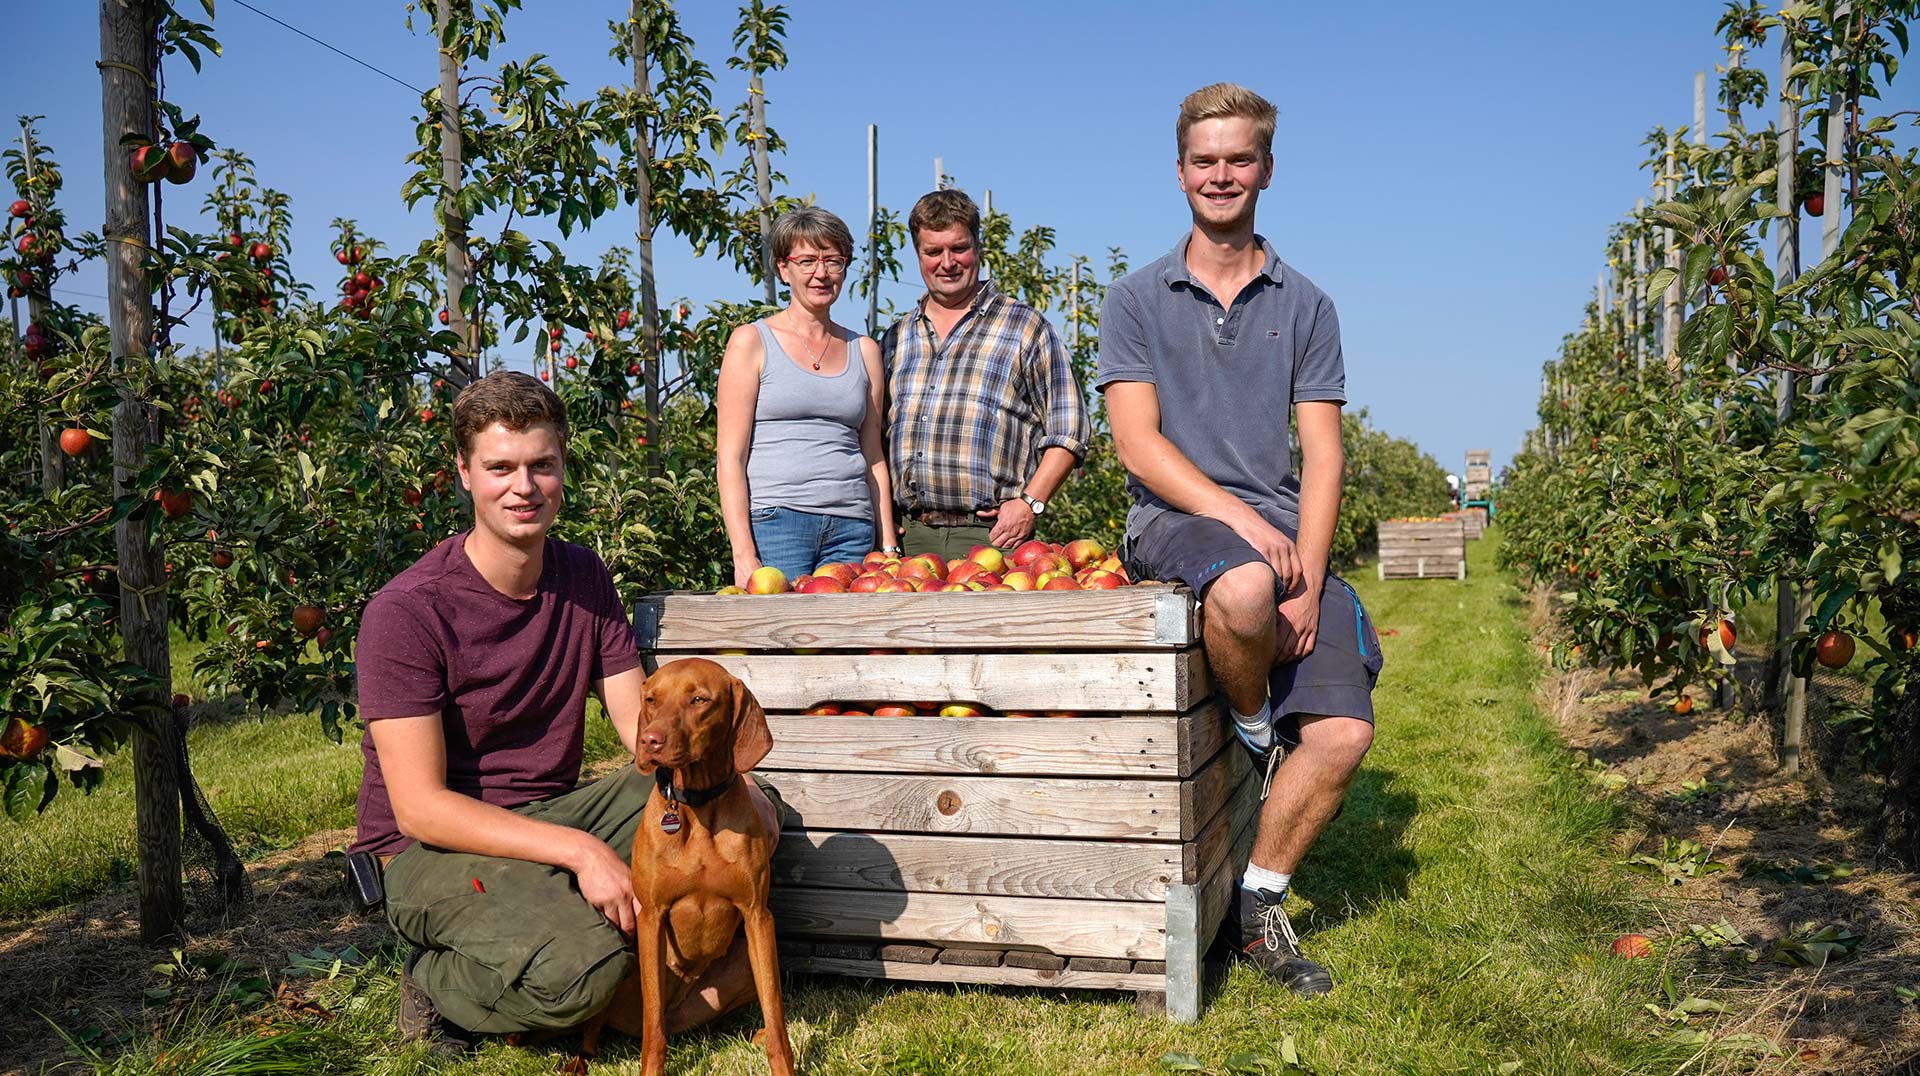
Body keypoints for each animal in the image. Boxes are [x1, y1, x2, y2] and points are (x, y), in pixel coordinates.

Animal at [564, 660, 791, 1068]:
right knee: (599, 1032)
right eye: (651, 699)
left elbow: (777, 1018)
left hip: (745, 963)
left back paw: (754, 1034)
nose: (649, 740)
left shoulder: (757, 917)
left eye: (699, 699)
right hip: (623, 962)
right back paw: (578, 1061)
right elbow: (653, 1034)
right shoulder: (650, 917)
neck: (698, 804)